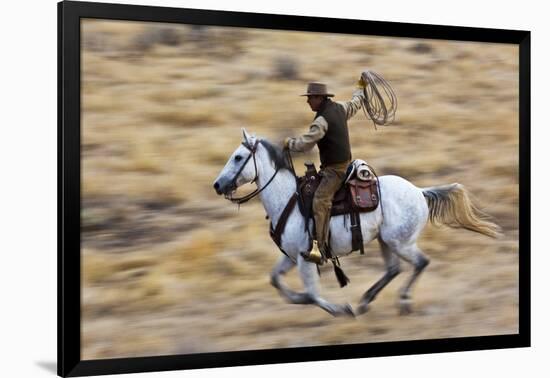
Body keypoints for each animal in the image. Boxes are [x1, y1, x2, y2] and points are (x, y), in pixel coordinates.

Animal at [212, 130, 504, 316]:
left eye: (238, 157)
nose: (217, 185)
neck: (288, 199)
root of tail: (419, 191)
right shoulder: (292, 256)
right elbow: (276, 281)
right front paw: (299, 299)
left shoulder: (306, 259)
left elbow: (312, 294)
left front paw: (341, 309)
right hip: (387, 241)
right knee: (394, 269)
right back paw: (366, 301)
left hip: (401, 242)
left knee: (420, 263)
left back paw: (401, 301)